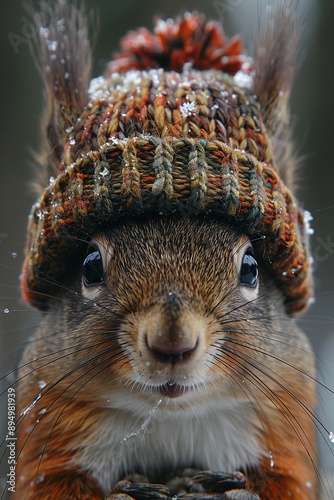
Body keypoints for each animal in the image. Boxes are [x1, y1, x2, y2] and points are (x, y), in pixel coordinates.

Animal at [10, 0, 326, 500]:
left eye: (251, 267)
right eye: (90, 267)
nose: (172, 343)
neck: (167, 420)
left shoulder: (287, 432)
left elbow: (287, 483)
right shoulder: (46, 438)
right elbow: (53, 485)